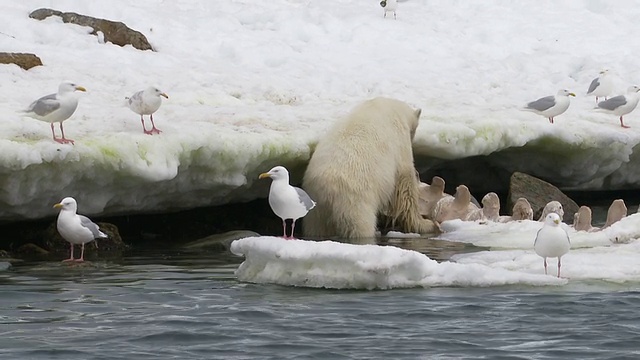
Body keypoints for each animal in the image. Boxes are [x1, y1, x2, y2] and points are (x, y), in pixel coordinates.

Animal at [302, 97, 440, 239]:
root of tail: (326, 194)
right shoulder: (400, 143)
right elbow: (405, 183)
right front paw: (427, 224)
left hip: (316, 212)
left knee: (316, 228)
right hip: (355, 202)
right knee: (360, 226)